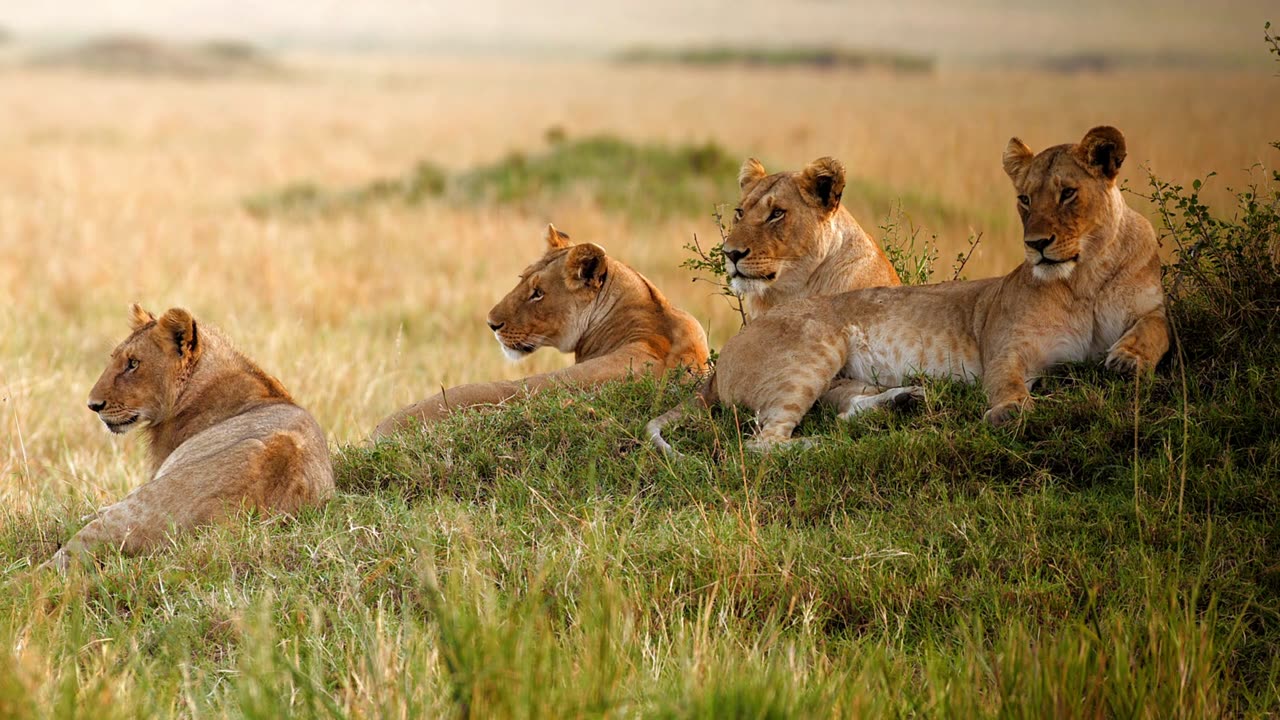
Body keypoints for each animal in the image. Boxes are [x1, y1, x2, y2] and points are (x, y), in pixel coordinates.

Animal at [650, 124, 1172, 448]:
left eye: (777, 214)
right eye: (740, 212)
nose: (730, 253)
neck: (1084, 277)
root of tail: (722, 361)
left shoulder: (1149, 307)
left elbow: (1155, 328)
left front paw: (1127, 360)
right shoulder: (1004, 348)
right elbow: (1006, 381)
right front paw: (1010, 412)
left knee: (836, 412)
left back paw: (904, 402)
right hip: (813, 352)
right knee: (765, 442)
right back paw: (827, 444)